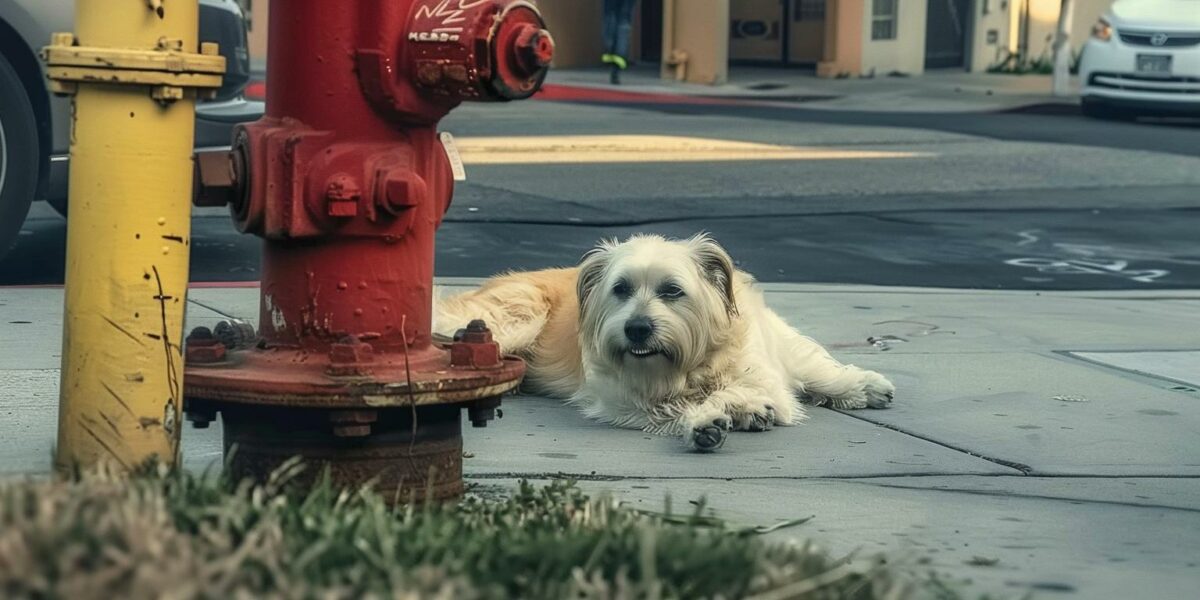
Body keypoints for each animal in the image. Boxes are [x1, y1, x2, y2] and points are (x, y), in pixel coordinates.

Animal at [434, 234, 892, 451]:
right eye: (620, 289)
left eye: (672, 290)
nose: (637, 329)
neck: (688, 364)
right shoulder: (630, 403)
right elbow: (687, 406)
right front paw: (710, 422)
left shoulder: (764, 374)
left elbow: (773, 384)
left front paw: (743, 408)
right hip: (512, 320)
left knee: (813, 365)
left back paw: (864, 386)